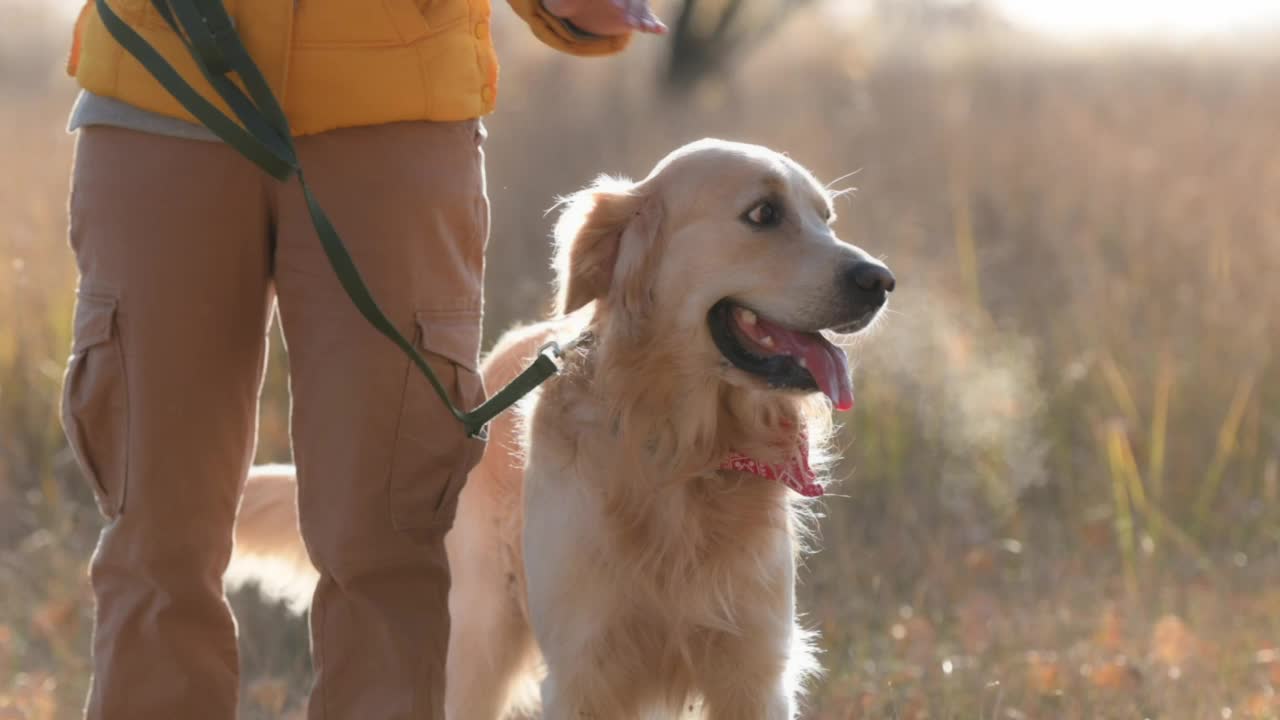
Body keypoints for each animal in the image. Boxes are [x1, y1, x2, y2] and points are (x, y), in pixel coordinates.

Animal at [232, 137, 890, 712]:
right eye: (763, 213)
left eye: (826, 218)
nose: (879, 281)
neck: (681, 453)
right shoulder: (585, 669)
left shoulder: (753, 670)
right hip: (479, 637)